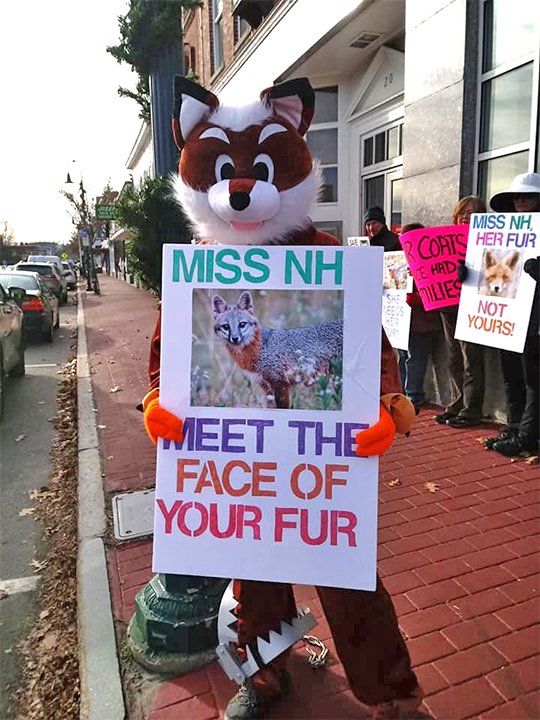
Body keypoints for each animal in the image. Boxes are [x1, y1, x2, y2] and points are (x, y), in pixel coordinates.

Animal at [211, 290, 342, 408]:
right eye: (226, 327)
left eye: (242, 324)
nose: (235, 338)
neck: (259, 347)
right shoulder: (266, 387)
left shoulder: (280, 383)